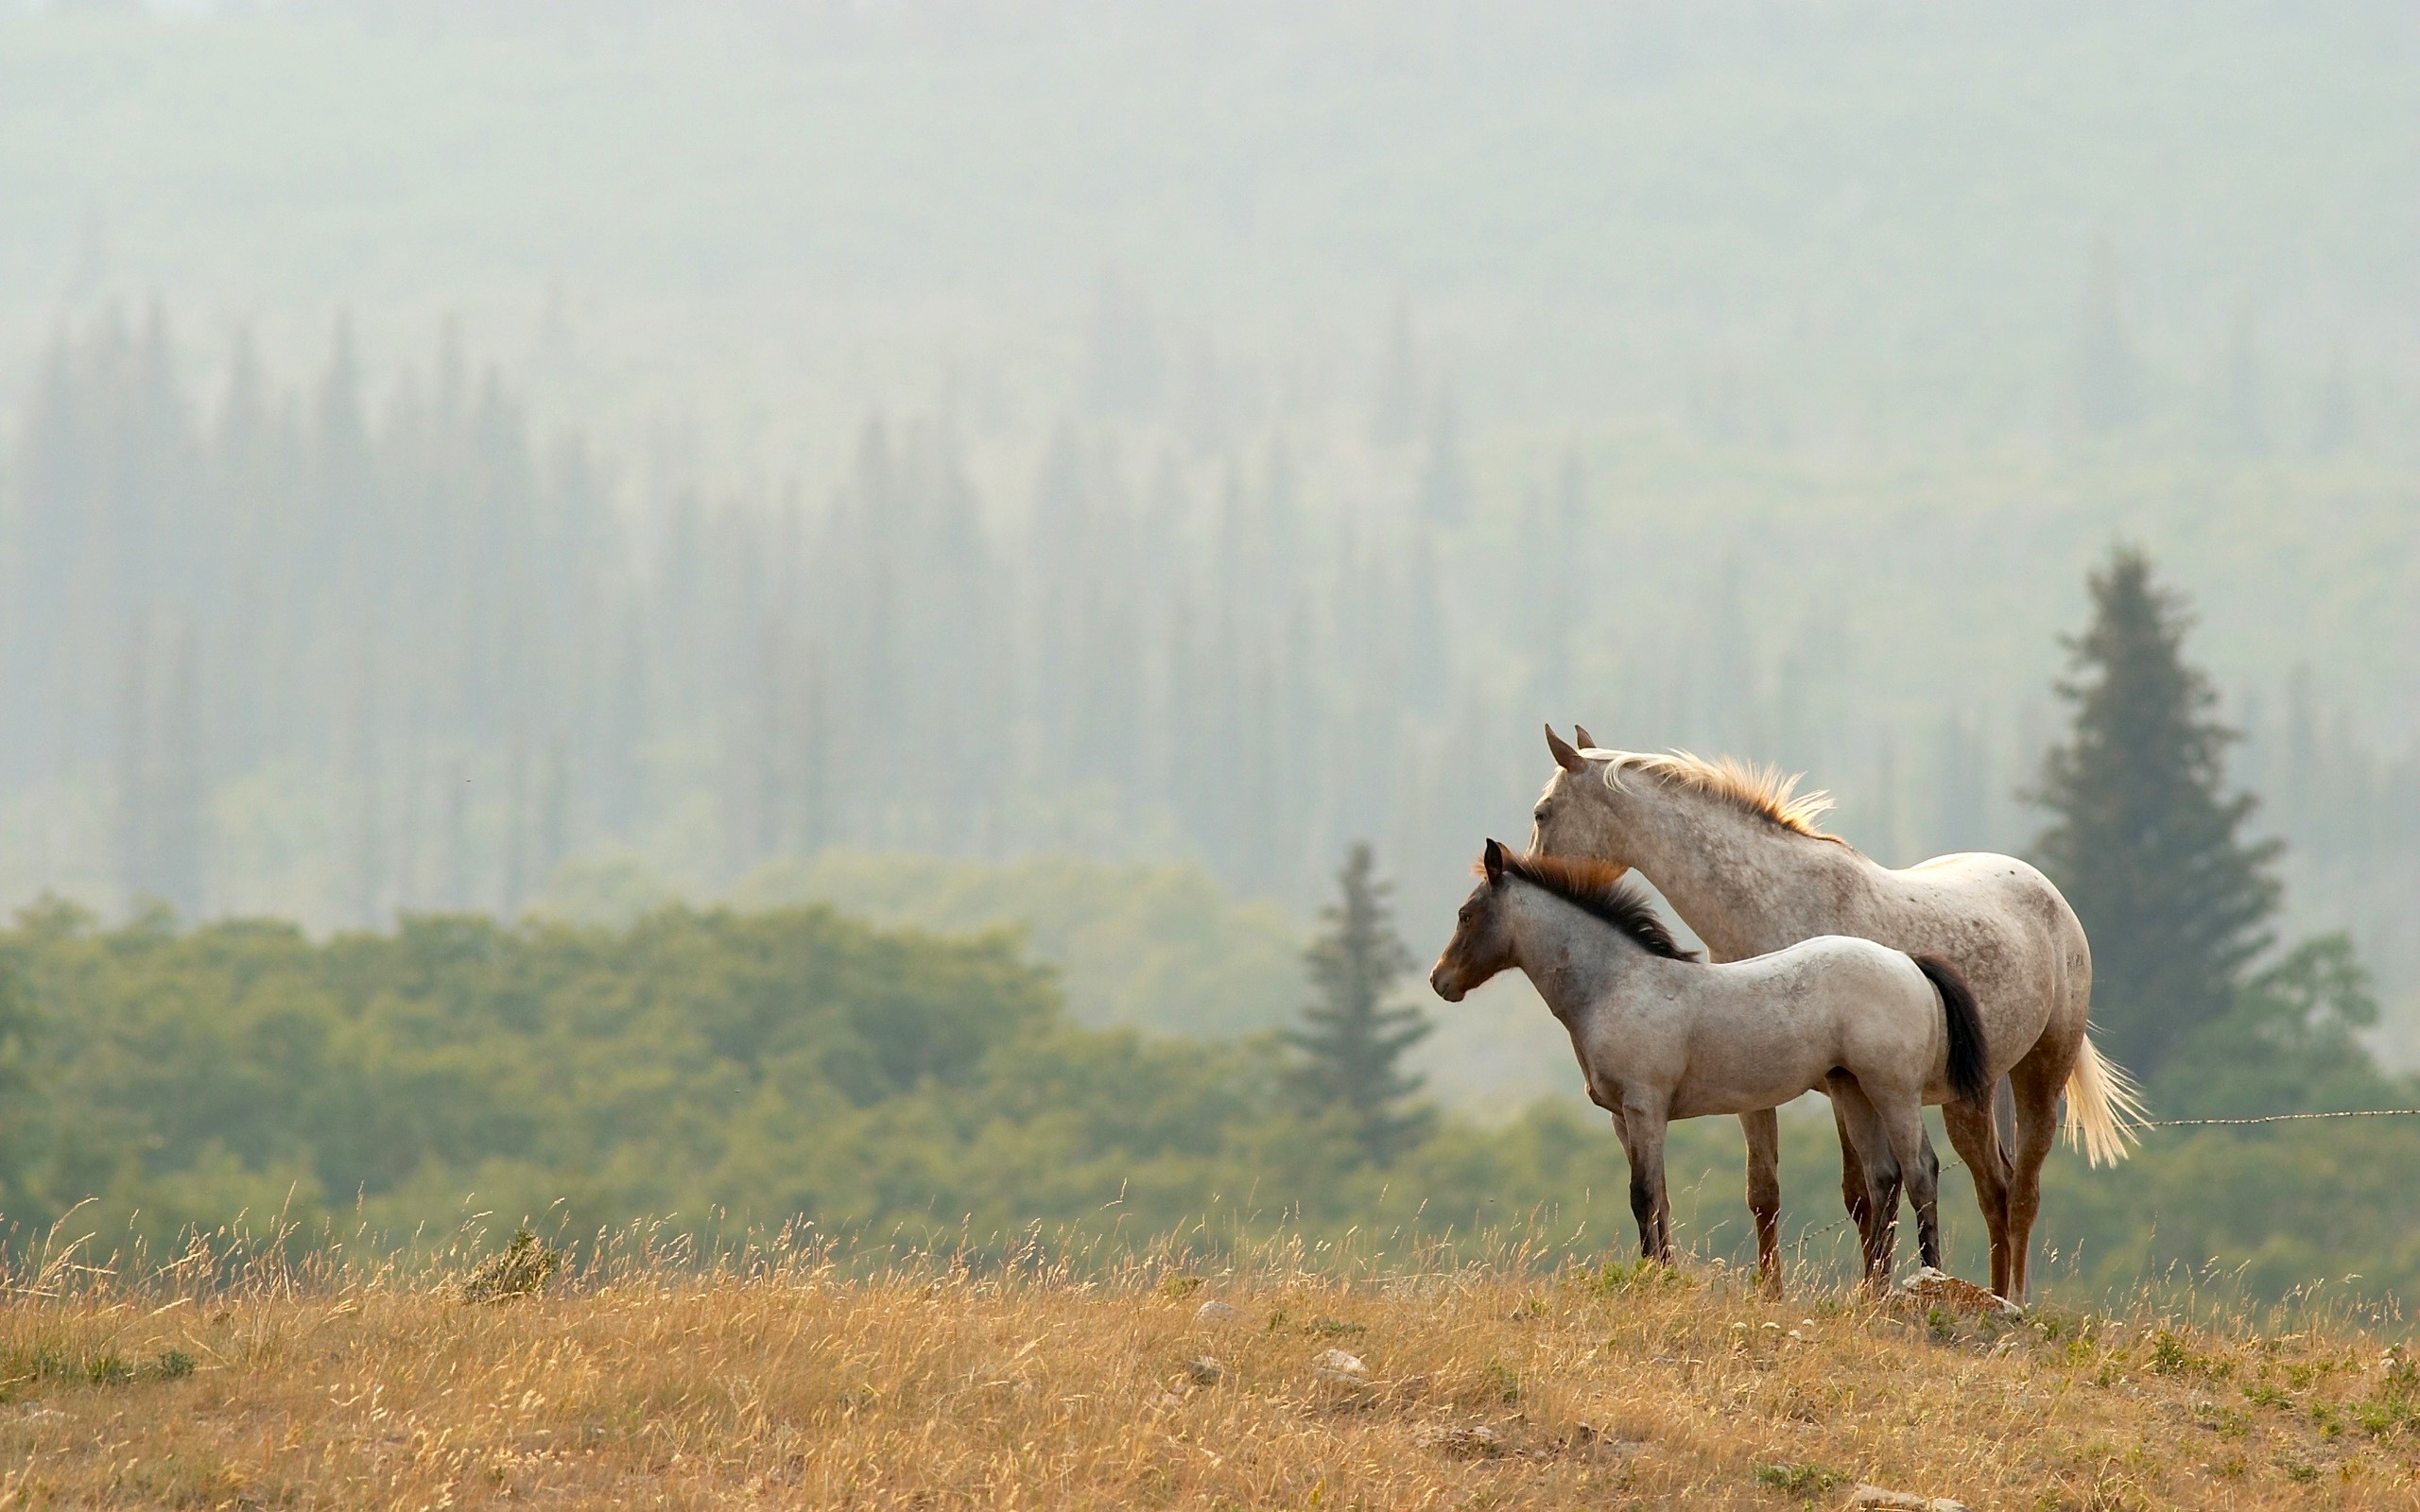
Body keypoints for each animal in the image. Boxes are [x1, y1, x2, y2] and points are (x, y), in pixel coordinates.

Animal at [1430, 839, 1991, 1286]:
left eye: (1465, 915)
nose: (1440, 981)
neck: (1616, 985)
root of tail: (1907, 962)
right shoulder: (1623, 1119)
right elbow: (1658, 1198)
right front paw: (1663, 1274)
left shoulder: (1644, 1108)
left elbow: (1642, 1195)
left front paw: (1653, 1281)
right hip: (1852, 1089)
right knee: (1883, 1179)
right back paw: (1871, 1293)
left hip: (1894, 1091)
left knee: (1920, 1172)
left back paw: (1928, 1280)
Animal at [1530, 726, 2142, 1301]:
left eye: (1542, 812)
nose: (1527, 874)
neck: (1774, 902)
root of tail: (2049, 894)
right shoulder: (1764, 1089)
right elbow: (1770, 1192)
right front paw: (1776, 1293)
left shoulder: (1844, 1087)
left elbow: (1870, 1193)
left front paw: (1874, 1287)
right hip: (1969, 1095)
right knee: (1995, 1186)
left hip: (2035, 1076)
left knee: (2016, 1193)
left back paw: (2007, 1299)